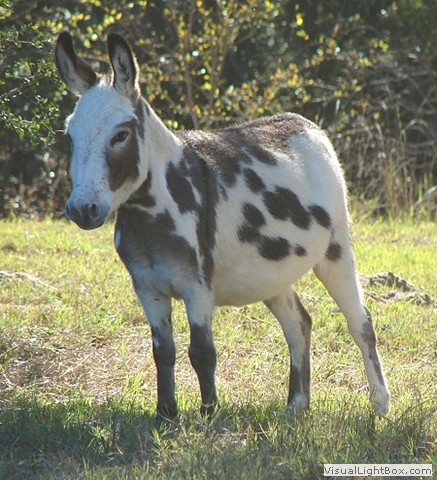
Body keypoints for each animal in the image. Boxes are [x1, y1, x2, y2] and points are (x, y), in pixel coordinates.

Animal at [55, 32, 390, 419]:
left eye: (120, 136)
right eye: (70, 137)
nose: (82, 210)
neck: (150, 213)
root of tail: (305, 125)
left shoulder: (197, 287)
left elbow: (202, 352)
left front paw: (209, 415)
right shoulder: (147, 287)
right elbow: (163, 353)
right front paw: (165, 414)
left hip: (336, 251)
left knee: (360, 323)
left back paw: (380, 403)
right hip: (272, 273)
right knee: (299, 325)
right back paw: (296, 407)